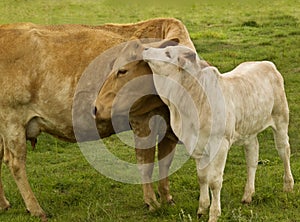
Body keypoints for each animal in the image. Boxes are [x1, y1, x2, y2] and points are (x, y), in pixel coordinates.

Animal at [0, 18, 196, 220]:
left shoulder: (169, 129)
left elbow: (165, 163)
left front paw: (167, 198)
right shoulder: (142, 121)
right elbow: (146, 163)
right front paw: (151, 202)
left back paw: (4, 204)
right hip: (12, 121)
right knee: (16, 163)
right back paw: (36, 209)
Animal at [142, 45, 294, 222]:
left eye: (168, 53)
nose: (145, 48)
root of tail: (266, 63)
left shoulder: (220, 144)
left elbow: (214, 181)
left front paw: (214, 213)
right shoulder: (197, 145)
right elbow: (202, 177)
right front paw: (202, 208)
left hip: (281, 118)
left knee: (284, 151)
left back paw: (288, 185)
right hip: (249, 131)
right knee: (252, 159)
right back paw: (248, 195)